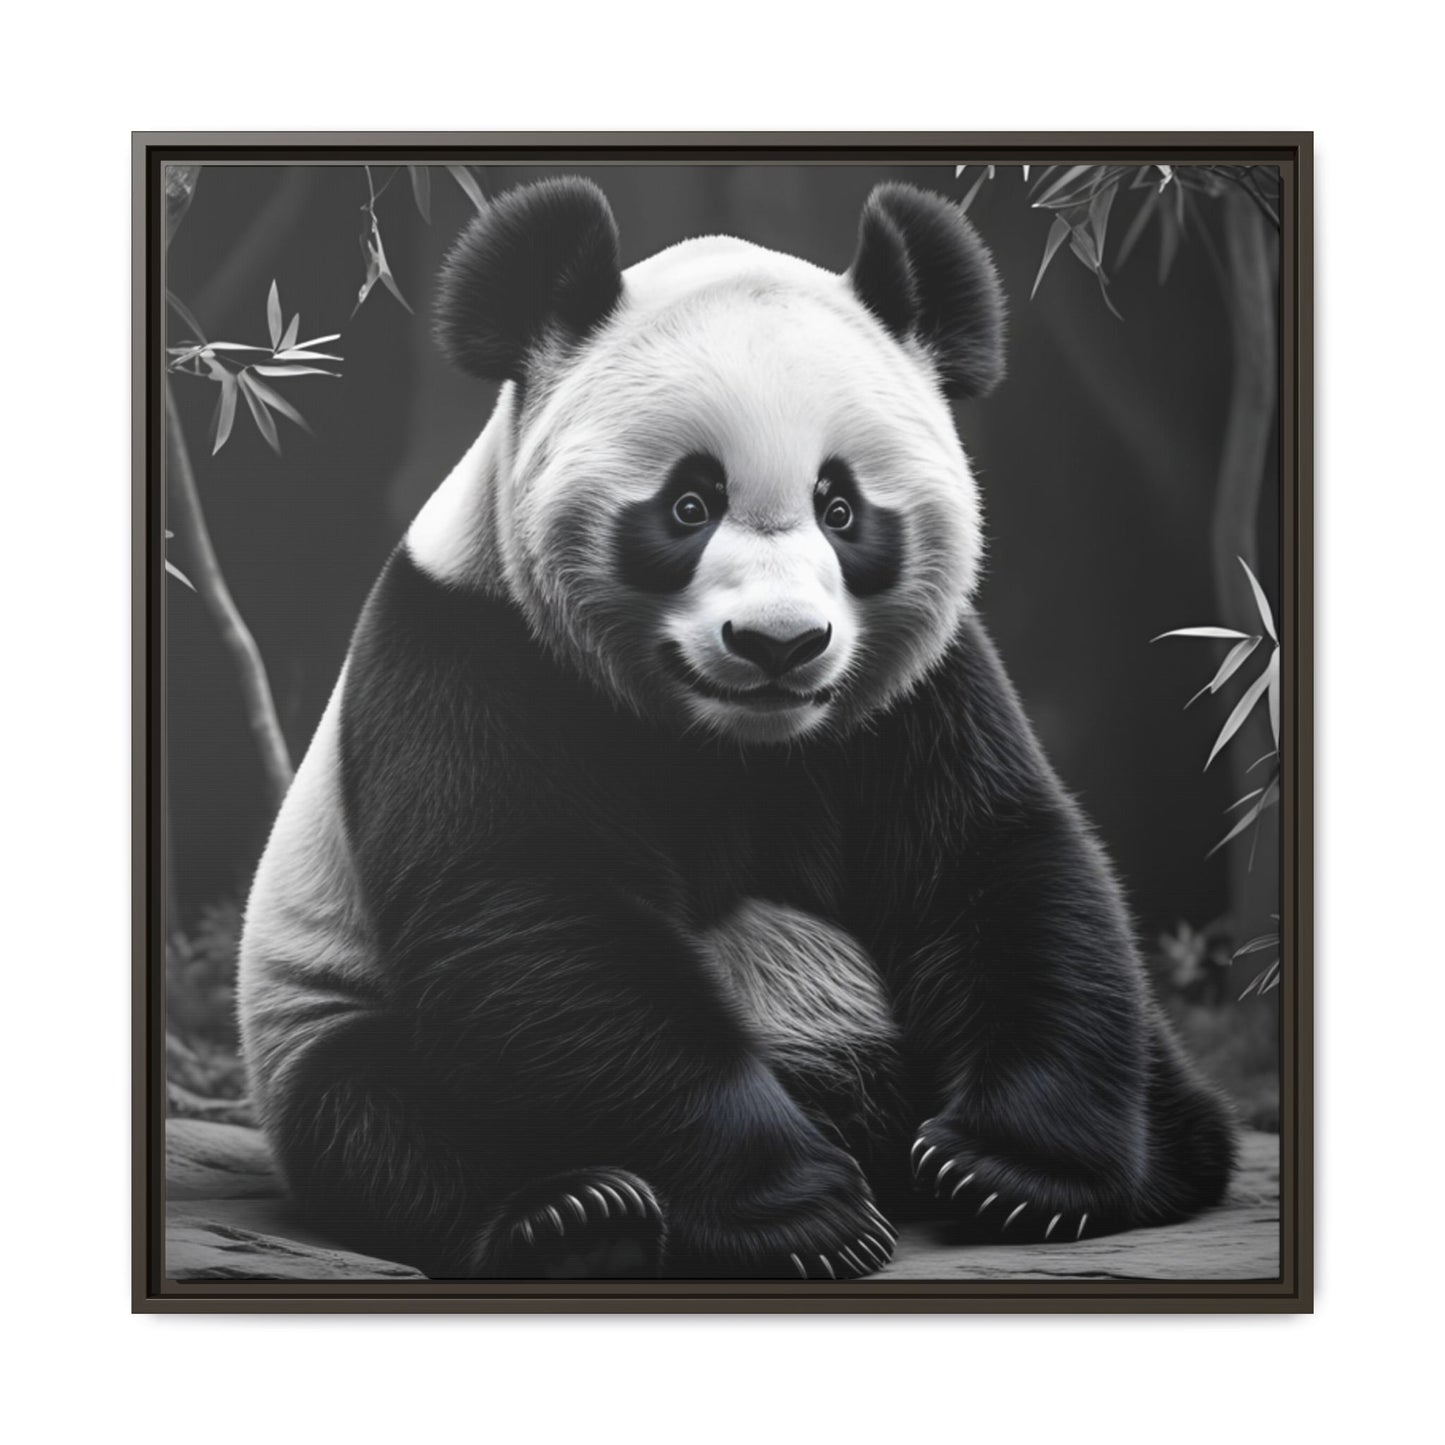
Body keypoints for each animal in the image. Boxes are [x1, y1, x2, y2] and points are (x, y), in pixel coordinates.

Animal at [238, 177, 1237, 1280]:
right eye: (687, 503)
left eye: (841, 506)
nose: (778, 643)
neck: (733, 743)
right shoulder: (473, 654)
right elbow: (531, 914)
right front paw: (802, 1214)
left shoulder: (918, 690)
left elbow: (992, 859)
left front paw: (1009, 1172)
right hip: (317, 1012)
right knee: (382, 1116)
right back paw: (577, 1217)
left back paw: (1163, 1152)